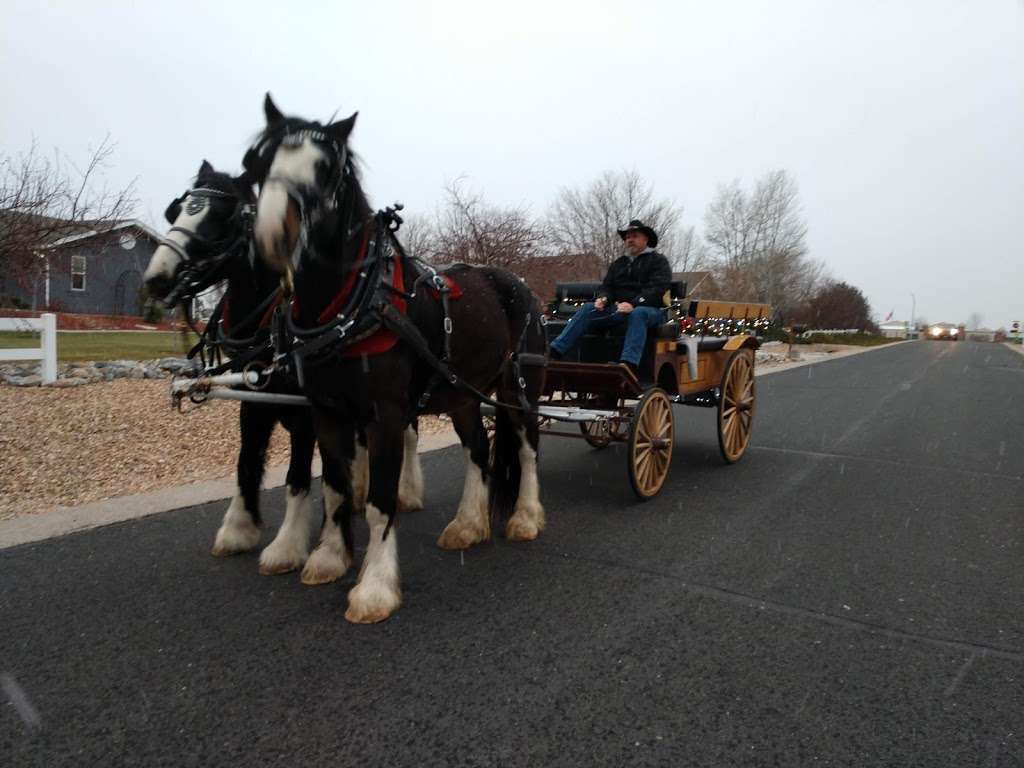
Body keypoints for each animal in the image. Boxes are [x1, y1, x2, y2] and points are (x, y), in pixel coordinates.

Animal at [246, 96, 548, 626]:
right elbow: (336, 487)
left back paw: (526, 518)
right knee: (478, 450)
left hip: (518, 388)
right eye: (259, 163)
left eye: (327, 170)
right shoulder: (327, 413)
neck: (348, 305)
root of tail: (521, 286)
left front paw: (374, 589)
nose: (273, 234)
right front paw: (328, 558)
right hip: (461, 395)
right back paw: (468, 525)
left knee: (526, 445)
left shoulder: (384, 416)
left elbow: (379, 501)